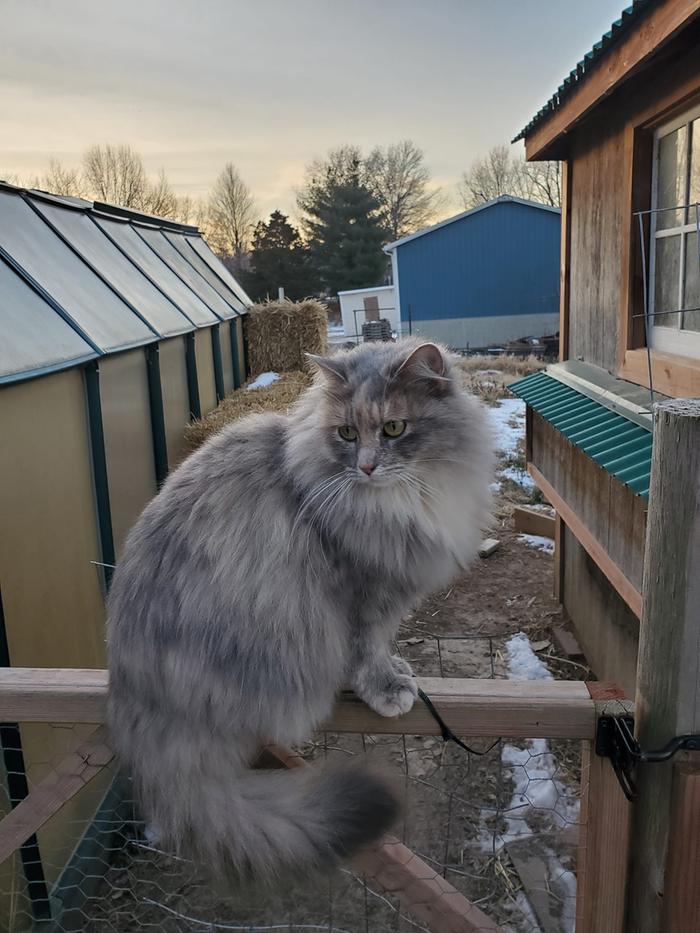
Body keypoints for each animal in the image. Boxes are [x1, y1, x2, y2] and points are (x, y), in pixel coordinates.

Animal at [108, 338, 492, 876]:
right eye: (347, 434)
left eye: (394, 429)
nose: (366, 467)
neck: (399, 502)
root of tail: (138, 699)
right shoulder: (362, 596)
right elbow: (368, 651)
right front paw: (387, 690)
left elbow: (382, 647)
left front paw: (398, 670)